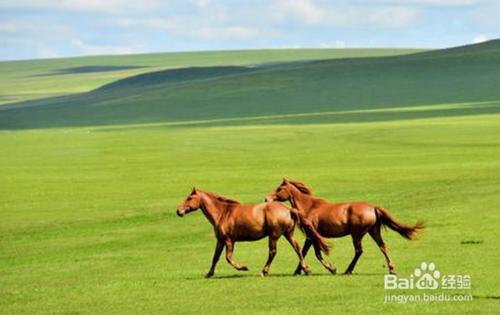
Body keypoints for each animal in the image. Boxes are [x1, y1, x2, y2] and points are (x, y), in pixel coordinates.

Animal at [176, 189, 328, 278]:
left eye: (189, 198)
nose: (179, 211)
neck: (223, 213)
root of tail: (288, 209)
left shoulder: (229, 240)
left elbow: (228, 258)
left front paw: (243, 267)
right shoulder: (220, 240)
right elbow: (215, 258)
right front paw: (209, 274)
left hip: (274, 236)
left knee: (273, 252)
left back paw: (264, 272)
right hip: (288, 234)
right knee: (298, 249)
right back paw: (306, 269)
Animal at [264, 180, 424, 276]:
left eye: (279, 188)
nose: (267, 198)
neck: (310, 206)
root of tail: (373, 208)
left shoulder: (311, 236)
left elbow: (311, 253)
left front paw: (324, 268)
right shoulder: (312, 236)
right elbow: (310, 252)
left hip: (357, 234)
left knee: (359, 251)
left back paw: (348, 270)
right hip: (373, 232)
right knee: (383, 247)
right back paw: (391, 269)